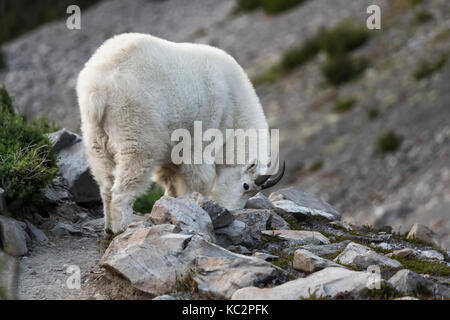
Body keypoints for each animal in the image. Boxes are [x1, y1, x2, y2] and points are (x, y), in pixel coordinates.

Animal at [75, 33, 284, 235]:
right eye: (246, 186)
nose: (232, 209)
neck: (234, 108)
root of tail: (98, 87)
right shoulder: (203, 133)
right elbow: (198, 176)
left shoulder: (173, 147)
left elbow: (170, 179)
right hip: (135, 122)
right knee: (130, 172)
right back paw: (121, 227)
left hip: (95, 130)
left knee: (105, 178)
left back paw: (108, 226)